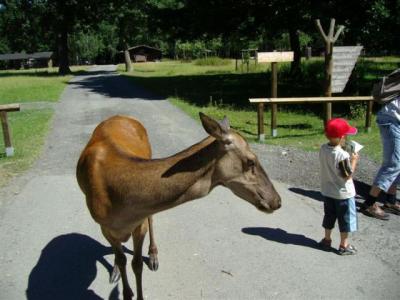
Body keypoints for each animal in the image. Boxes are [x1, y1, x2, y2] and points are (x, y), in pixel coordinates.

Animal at [76, 112, 282, 300]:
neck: (122, 204)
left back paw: (153, 256)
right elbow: (122, 259)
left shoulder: (139, 223)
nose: (277, 201)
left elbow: (137, 264)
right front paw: (124, 286)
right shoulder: (104, 226)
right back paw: (116, 270)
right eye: (251, 161)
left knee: (151, 220)